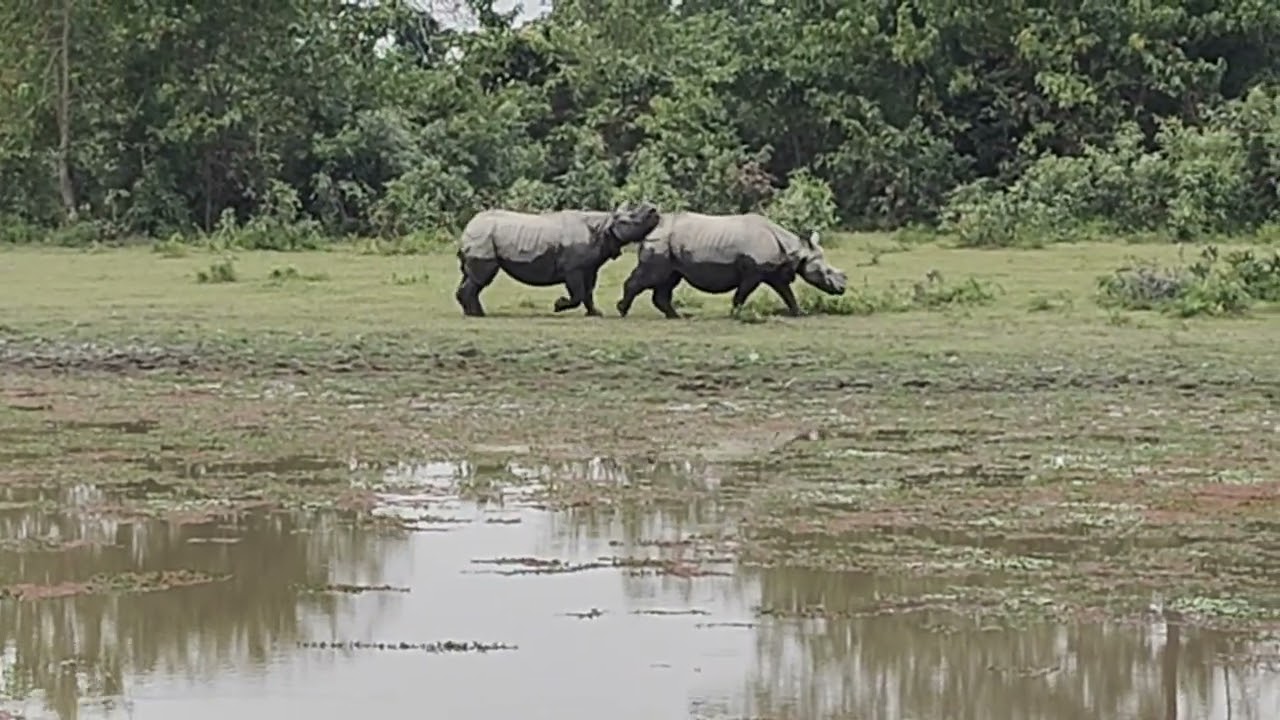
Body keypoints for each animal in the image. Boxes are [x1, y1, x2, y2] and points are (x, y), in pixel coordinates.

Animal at [455, 202, 661, 317]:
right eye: (631, 218)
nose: (654, 210)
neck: (604, 225)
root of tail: (468, 226)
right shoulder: (573, 268)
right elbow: (578, 294)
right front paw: (558, 306)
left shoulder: (589, 267)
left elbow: (588, 292)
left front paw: (595, 313)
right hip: (483, 236)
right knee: (481, 277)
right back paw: (478, 315)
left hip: (481, 237)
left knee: (470, 276)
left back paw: (472, 312)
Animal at [615, 212, 848, 318]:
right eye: (826, 271)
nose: (842, 288)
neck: (796, 250)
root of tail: (653, 228)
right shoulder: (754, 271)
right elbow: (742, 293)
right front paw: (736, 314)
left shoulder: (773, 272)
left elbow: (787, 293)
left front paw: (800, 313)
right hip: (661, 244)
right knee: (652, 277)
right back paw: (623, 310)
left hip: (668, 248)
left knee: (668, 279)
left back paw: (676, 316)